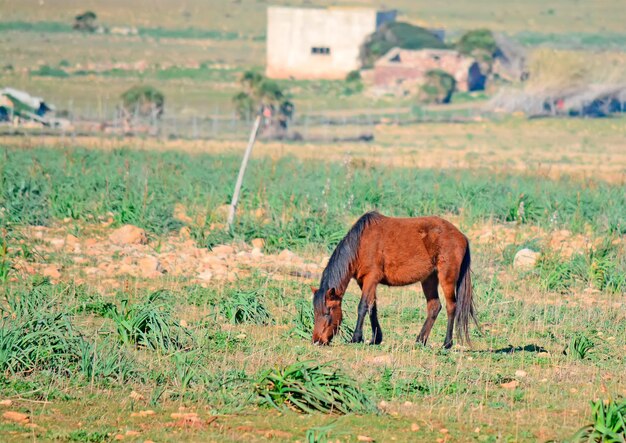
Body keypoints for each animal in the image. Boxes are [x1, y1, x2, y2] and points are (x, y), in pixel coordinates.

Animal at [312, 212, 472, 350]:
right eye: (315, 312)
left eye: (327, 312)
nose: (317, 341)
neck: (360, 244)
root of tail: (461, 236)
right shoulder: (364, 282)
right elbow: (372, 307)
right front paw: (376, 338)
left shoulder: (371, 278)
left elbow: (362, 306)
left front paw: (356, 338)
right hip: (429, 279)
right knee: (434, 306)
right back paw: (420, 340)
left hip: (446, 277)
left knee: (451, 306)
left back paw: (447, 343)